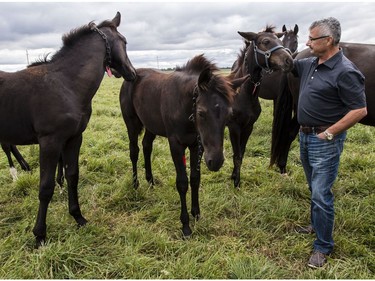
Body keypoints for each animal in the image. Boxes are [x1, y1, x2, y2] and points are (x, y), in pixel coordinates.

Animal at [0, 12, 137, 246]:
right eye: (125, 41)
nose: (133, 73)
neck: (66, 84)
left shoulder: (74, 138)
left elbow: (72, 175)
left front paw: (78, 217)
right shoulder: (50, 142)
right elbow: (45, 187)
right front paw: (40, 235)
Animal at [120, 53, 248, 235]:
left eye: (229, 114)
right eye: (201, 112)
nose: (216, 162)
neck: (183, 105)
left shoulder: (196, 144)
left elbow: (195, 179)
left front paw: (196, 214)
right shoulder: (176, 144)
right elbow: (182, 182)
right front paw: (185, 225)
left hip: (151, 125)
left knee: (147, 146)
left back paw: (150, 181)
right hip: (131, 124)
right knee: (134, 151)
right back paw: (135, 184)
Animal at [226, 26, 296, 187]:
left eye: (279, 41)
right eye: (265, 41)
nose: (289, 61)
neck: (243, 94)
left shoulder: (248, 127)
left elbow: (241, 153)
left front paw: (234, 176)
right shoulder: (234, 127)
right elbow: (237, 155)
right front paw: (236, 183)